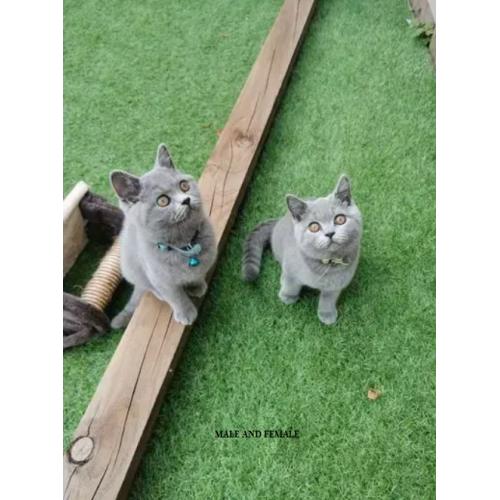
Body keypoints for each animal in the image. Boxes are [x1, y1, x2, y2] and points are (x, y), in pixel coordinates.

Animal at [110, 144, 216, 328]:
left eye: (184, 186)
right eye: (163, 201)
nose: (186, 200)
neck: (184, 245)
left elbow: (198, 274)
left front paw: (197, 286)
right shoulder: (160, 278)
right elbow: (175, 296)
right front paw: (186, 313)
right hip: (131, 270)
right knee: (147, 286)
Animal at [241, 176, 362, 324]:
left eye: (340, 219)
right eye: (314, 227)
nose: (330, 233)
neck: (327, 265)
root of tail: (279, 221)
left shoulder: (336, 284)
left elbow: (328, 299)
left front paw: (327, 314)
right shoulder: (290, 267)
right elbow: (291, 284)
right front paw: (287, 297)